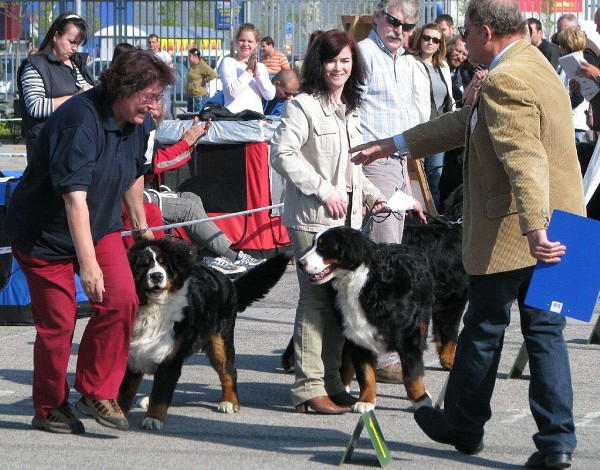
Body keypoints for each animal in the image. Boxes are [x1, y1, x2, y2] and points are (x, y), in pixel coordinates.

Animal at [119, 239, 290, 430]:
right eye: (143, 264)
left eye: (164, 264)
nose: (157, 276)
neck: (152, 309)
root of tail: (227, 280)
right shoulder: (134, 355)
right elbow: (126, 391)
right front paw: (118, 414)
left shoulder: (171, 357)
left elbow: (161, 393)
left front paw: (153, 418)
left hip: (219, 341)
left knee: (229, 371)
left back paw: (230, 402)